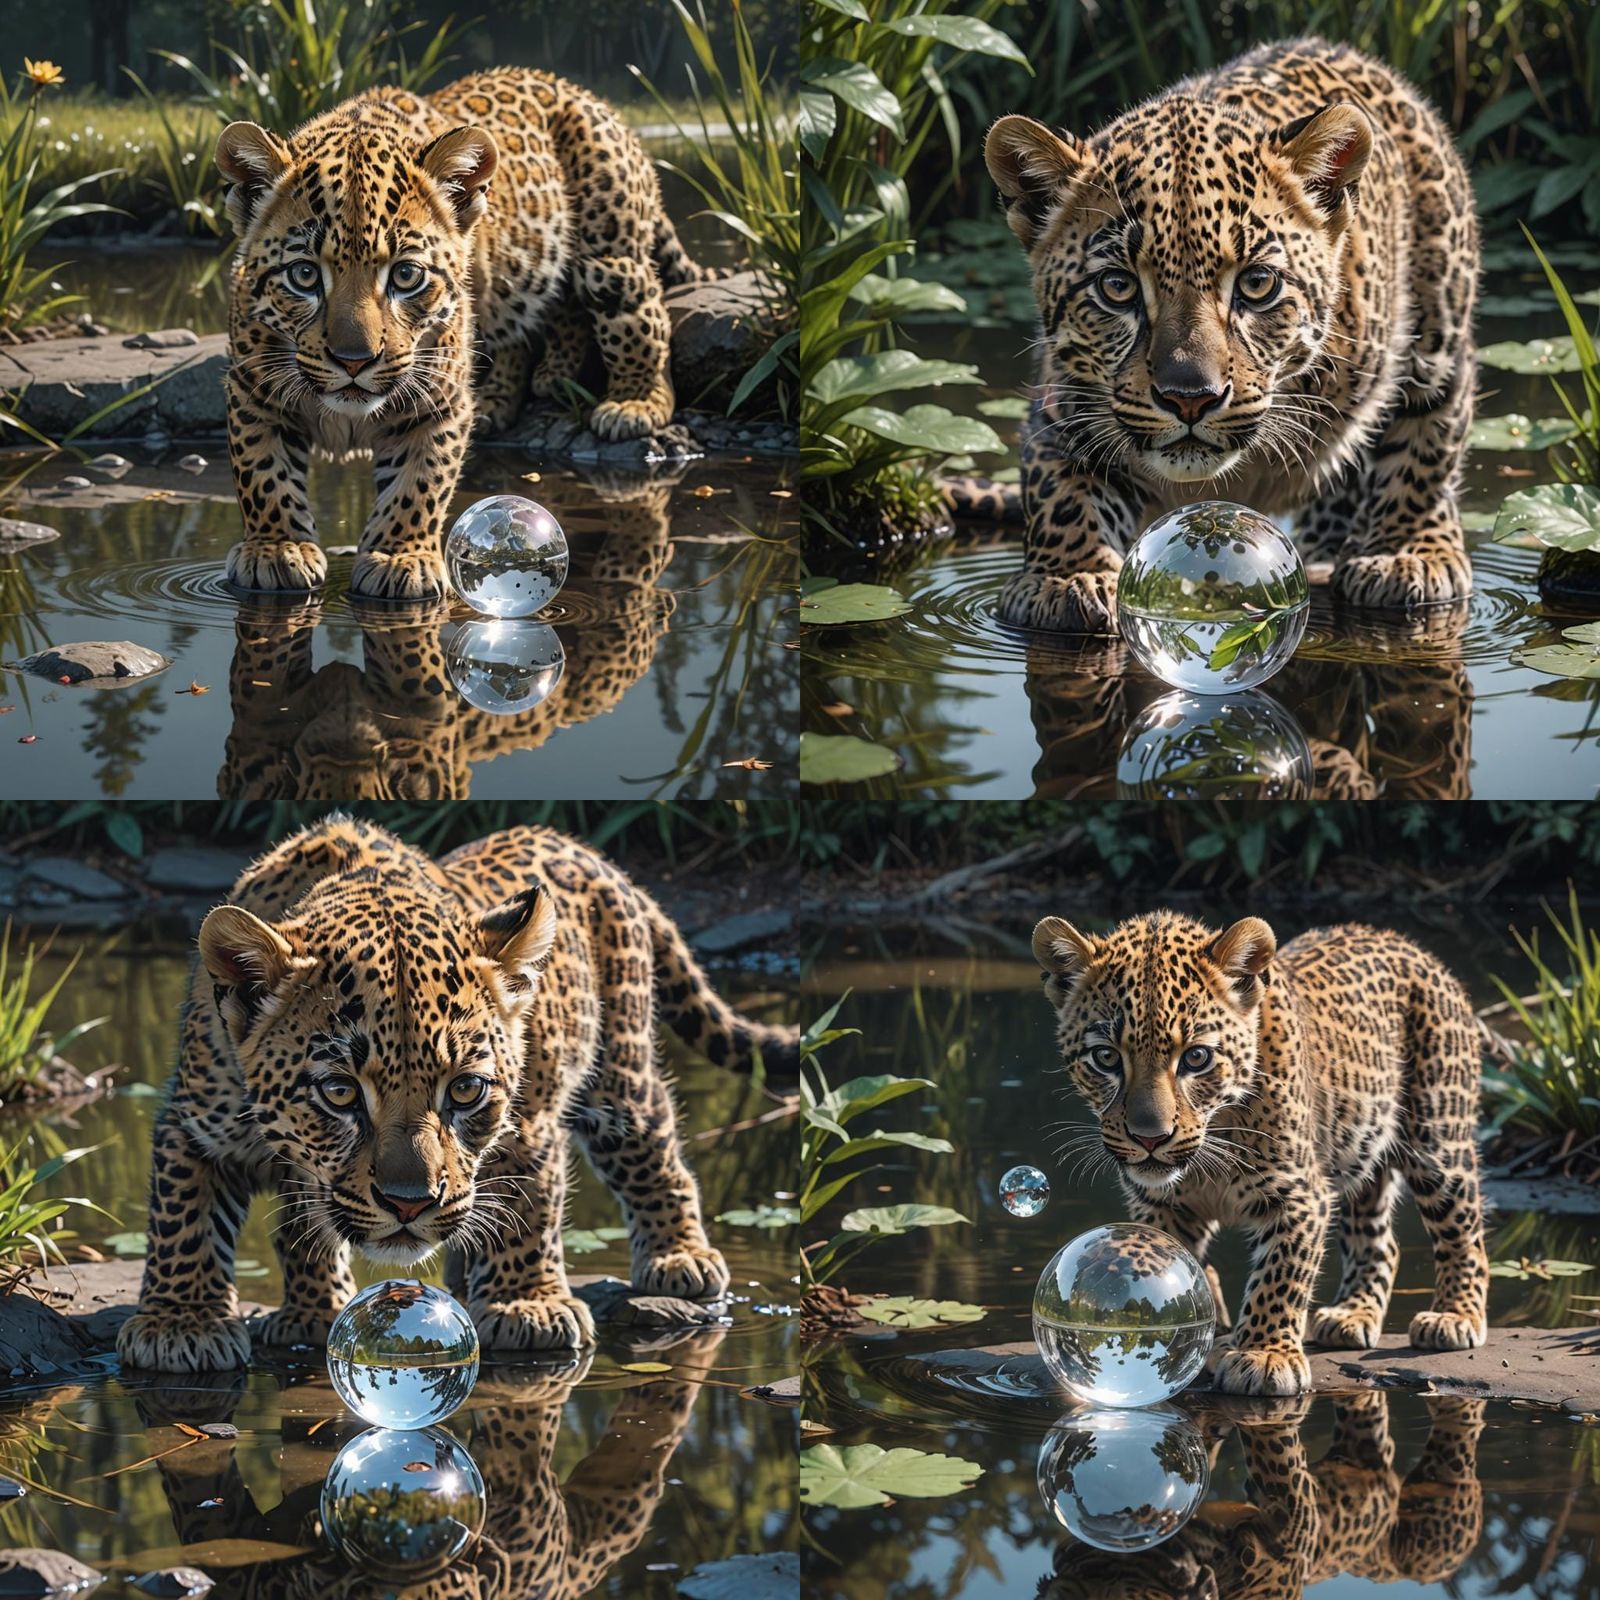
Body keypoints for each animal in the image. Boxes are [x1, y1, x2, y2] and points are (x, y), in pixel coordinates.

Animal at [116, 815, 797, 1373]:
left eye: (465, 1090)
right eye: (339, 1092)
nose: (410, 1204)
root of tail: (589, 852)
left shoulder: (530, 1122)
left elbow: (528, 1206)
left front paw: (528, 1307)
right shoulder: (195, 1121)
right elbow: (184, 1218)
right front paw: (183, 1324)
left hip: (620, 1074)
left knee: (655, 1155)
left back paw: (680, 1259)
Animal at [215, 67, 727, 602]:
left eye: (406, 276)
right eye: (304, 276)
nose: (354, 360)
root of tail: (581, 90)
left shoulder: (438, 401)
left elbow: (419, 483)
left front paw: (400, 557)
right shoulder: (252, 389)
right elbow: (262, 473)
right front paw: (277, 550)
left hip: (610, 252)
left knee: (641, 312)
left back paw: (634, 402)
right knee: (541, 313)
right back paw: (529, 387)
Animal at [982, 36, 1477, 634]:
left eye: (1257, 283)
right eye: (1118, 287)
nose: (1189, 399)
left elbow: (1427, 445)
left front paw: (1408, 555)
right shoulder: (1061, 404)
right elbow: (1059, 486)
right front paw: (1066, 577)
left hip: (1439, 311)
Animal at [1033, 909, 1489, 1396]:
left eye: (1196, 1058)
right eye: (1105, 1058)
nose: (1150, 1138)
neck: (1215, 1136)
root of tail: (1407, 945)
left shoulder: (1300, 1194)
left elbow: (1280, 1275)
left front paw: (1265, 1355)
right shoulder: (1160, 1204)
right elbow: (1163, 1265)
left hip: (1438, 1136)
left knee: (1462, 1226)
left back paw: (1455, 1316)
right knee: (1380, 1240)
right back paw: (1352, 1315)